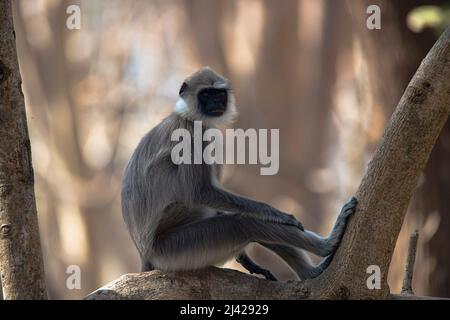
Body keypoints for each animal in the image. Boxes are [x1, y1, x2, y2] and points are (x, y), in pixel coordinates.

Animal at [120, 67, 358, 280]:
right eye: (206, 95)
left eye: (219, 94)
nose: (216, 103)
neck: (186, 117)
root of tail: (146, 255)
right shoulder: (192, 136)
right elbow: (200, 192)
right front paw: (275, 213)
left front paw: (246, 259)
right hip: (176, 250)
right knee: (243, 224)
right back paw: (327, 245)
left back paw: (310, 273)